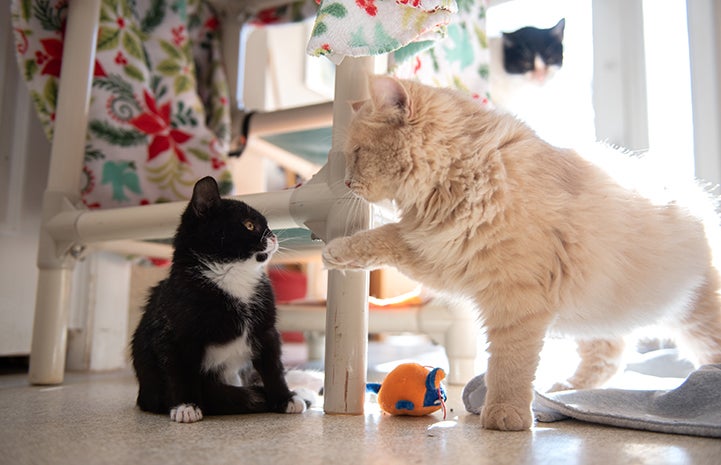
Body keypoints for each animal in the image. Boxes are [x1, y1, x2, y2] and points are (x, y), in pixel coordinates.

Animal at [131, 174, 306, 420]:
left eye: (268, 226)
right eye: (249, 225)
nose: (273, 236)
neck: (232, 276)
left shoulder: (266, 329)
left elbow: (273, 366)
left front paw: (285, 398)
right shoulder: (173, 334)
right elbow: (178, 370)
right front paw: (186, 405)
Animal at [324, 75, 720, 428]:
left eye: (357, 153)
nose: (346, 182)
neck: (466, 174)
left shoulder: (514, 300)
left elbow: (508, 367)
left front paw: (504, 416)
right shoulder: (441, 255)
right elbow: (382, 238)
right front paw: (336, 251)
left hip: (695, 316)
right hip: (601, 313)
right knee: (610, 356)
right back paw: (565, 390)